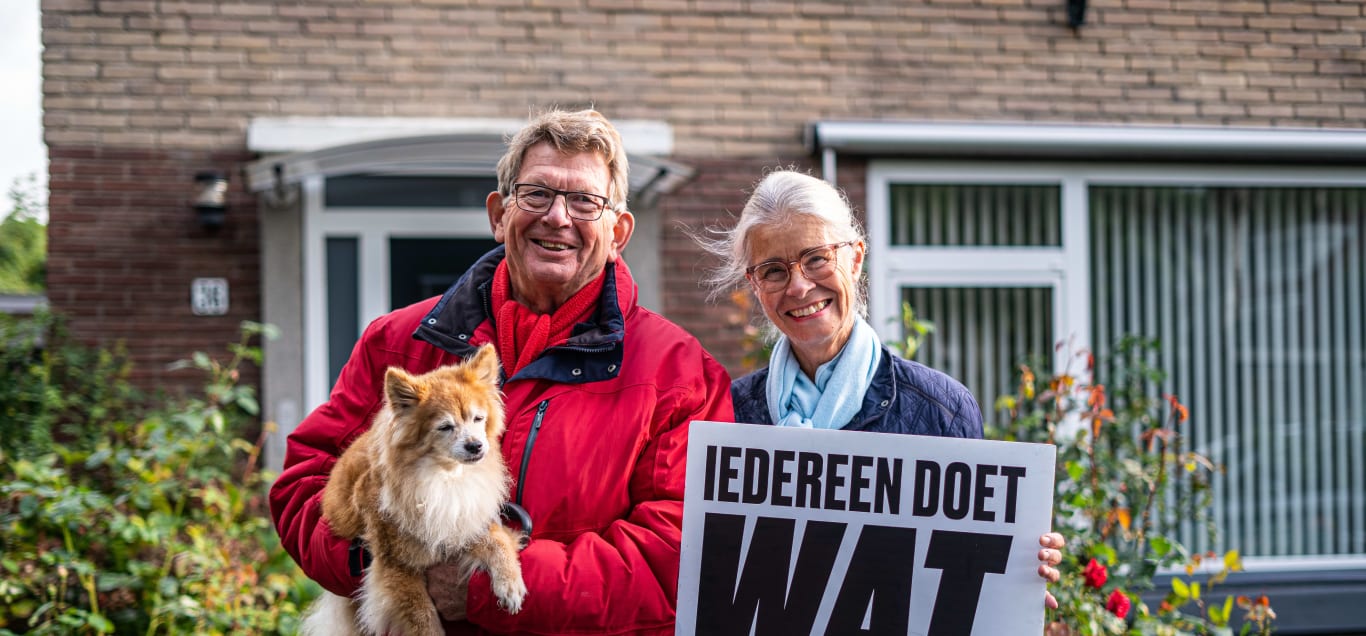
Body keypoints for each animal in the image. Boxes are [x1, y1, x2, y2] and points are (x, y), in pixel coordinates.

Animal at [301, 345, 524, 636]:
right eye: (445, 427)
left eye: (478, 419)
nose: (475, 445)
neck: (446, 477)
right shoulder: (399, 568)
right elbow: (424, 620)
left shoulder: (464, 519)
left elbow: (497, 539)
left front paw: (510, 583)